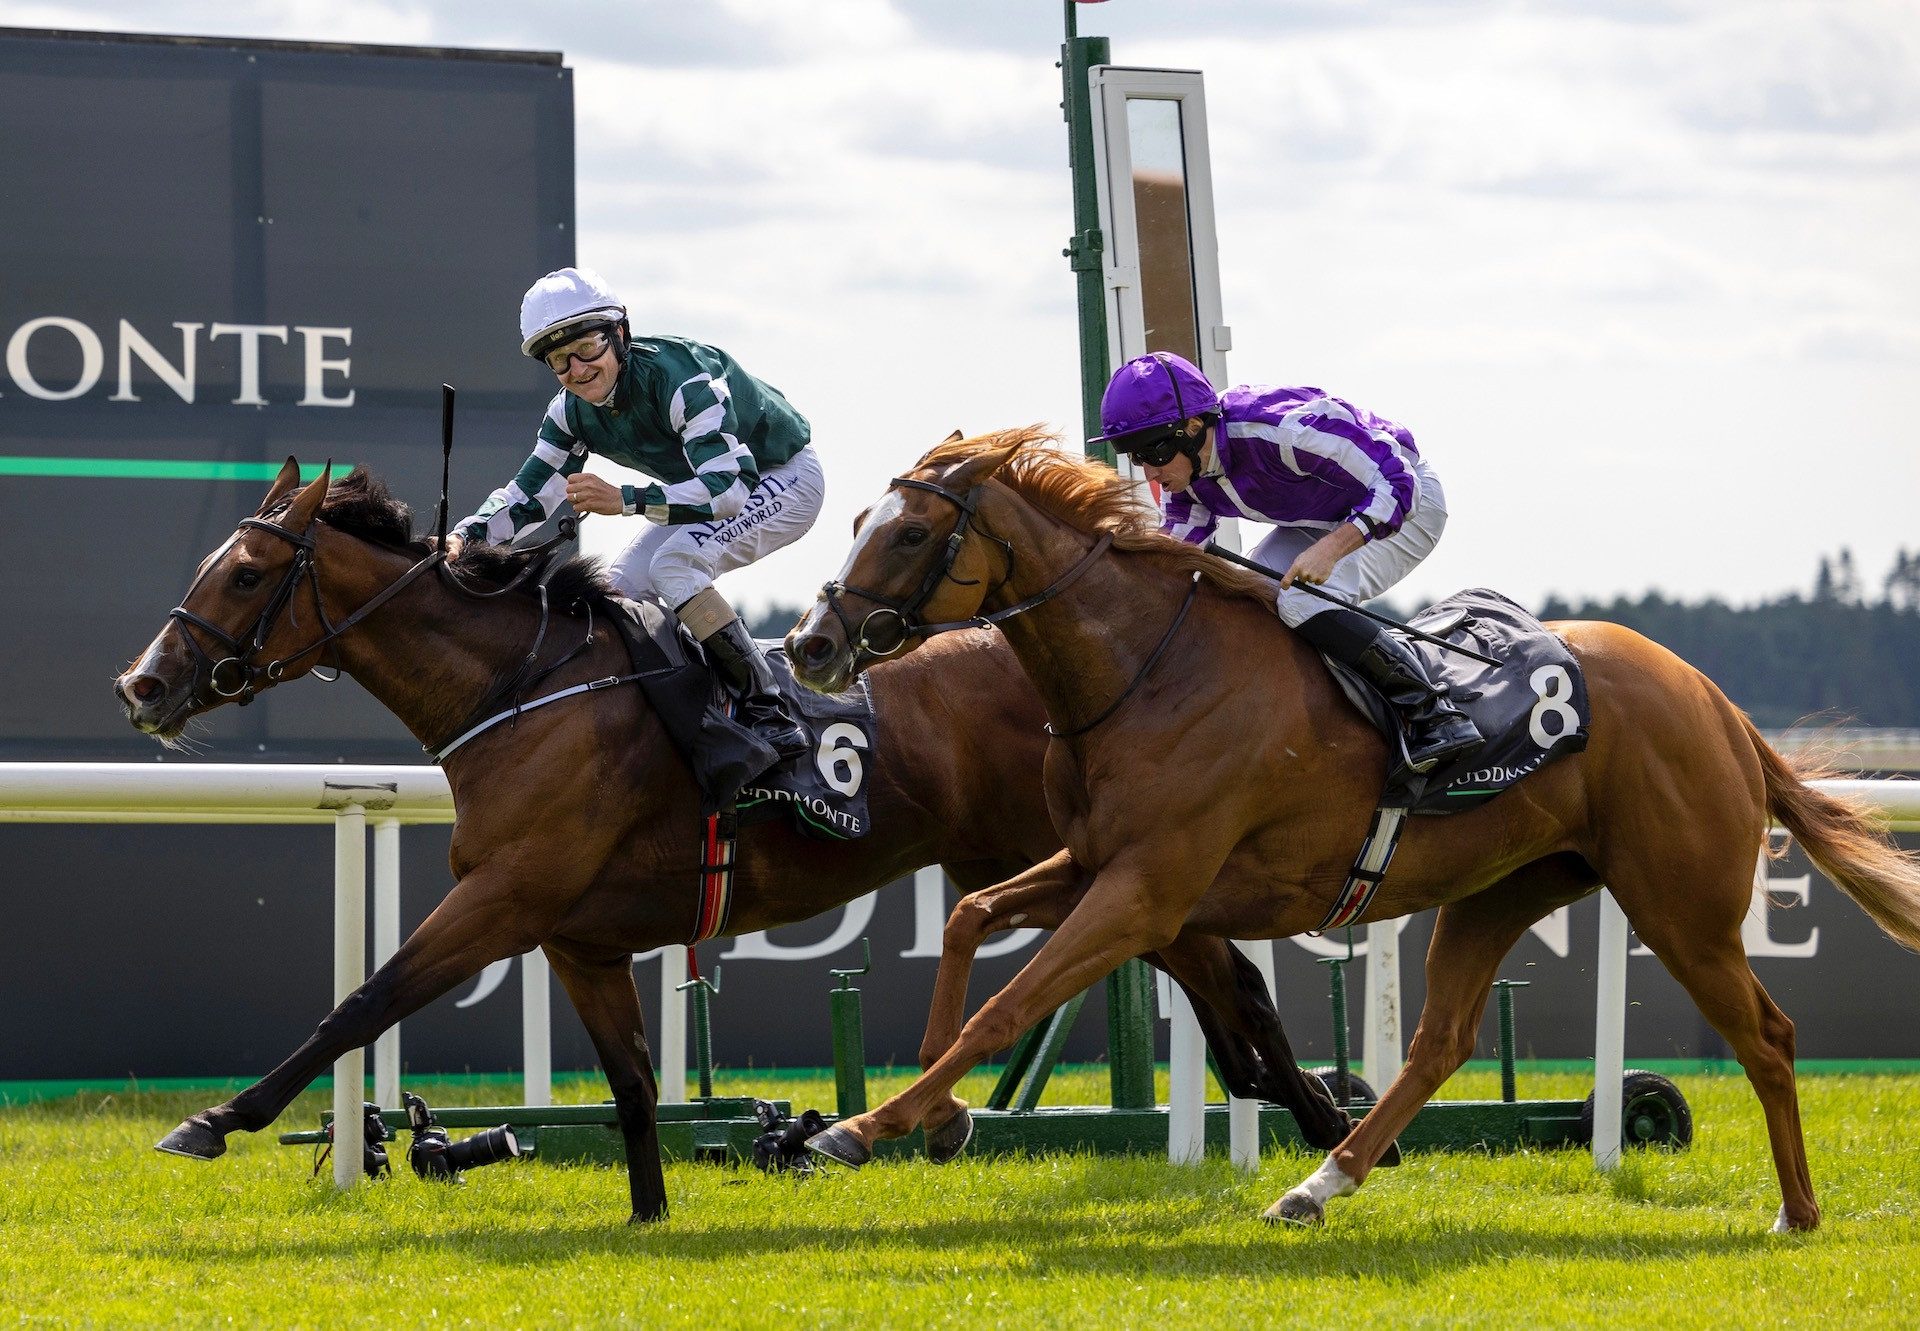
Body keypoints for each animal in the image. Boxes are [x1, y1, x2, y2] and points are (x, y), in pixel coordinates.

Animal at [116, 462, 1367, 1221]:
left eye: (244, 570)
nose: (143, 684)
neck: (521, 690)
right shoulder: (576, 937)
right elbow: (630, 1080)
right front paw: (649, 1212)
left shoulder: (504, 898)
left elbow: (362, 1001)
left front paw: (213, 1118)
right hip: (1072, 863)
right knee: (1217, 970)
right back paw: (1315, 1115)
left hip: (1106, 859)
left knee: (1220, 969)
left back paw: (1321, 1120)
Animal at [787, 426, 1920, 1221]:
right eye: (857, 521)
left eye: (910, 531)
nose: (810, 644)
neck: (1147, 667)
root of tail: (1718, 704)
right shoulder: (1103, 863)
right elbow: (972, 915)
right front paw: (936, 1113)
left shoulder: (1148, 890)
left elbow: (1008, 1004)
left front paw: (866, 1123)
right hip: (1506, 888)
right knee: (1440, 1042)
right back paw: (1316, 1184)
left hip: (1680, 901)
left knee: (1767, 1035)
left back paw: (1796, 1210)